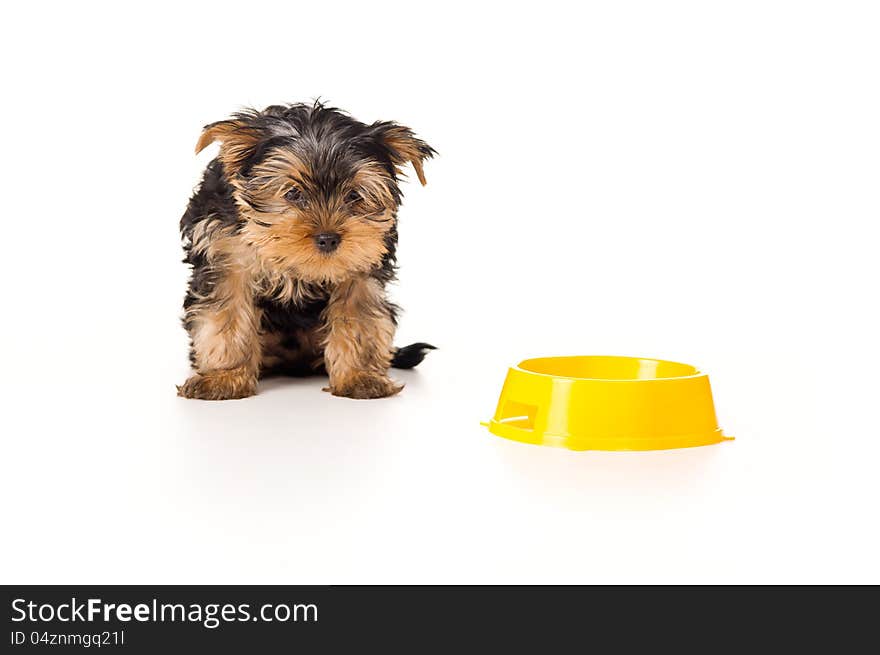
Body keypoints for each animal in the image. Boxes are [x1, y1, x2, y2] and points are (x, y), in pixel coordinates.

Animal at [178, 102, 436, 400]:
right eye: (293, 193)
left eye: (354, 196)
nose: (328, 239)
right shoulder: (225, 253)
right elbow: (226, 312)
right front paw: (224, 377)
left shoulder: (361, 262)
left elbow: (358, 314)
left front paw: (359, 377)